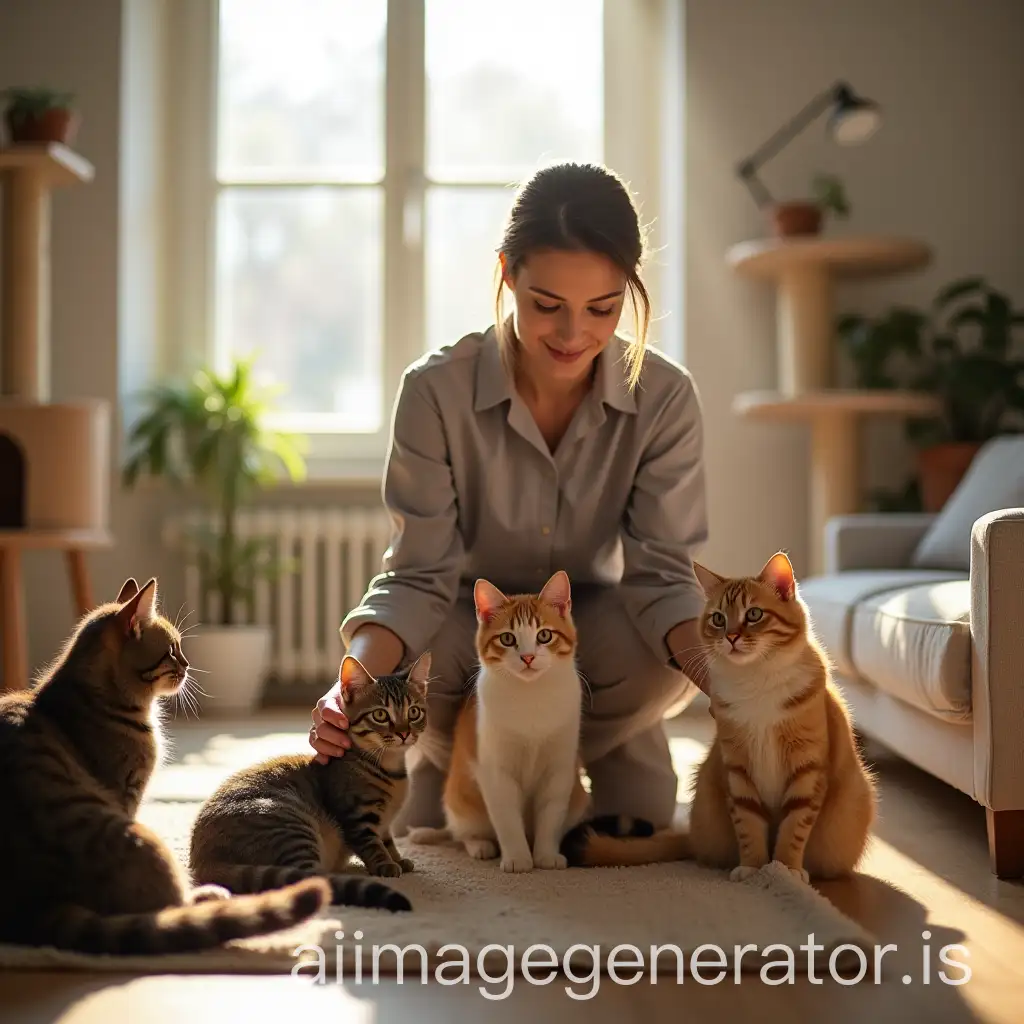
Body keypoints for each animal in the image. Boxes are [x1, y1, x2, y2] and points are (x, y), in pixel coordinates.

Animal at [0, 581, 331, 954]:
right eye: (172, 650)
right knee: (172, 908)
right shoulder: (127, 794)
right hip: (144, 839)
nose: (187, 664)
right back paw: (212, 895)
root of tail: (38, 910)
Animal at [186, 651, 430, 909]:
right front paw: (386, 864)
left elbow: (388, 841)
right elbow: (373, 845)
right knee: (310, 879)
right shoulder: (358, 817)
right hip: (290, 826)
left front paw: (399, 859)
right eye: (381, 714)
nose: (404, 733)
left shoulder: (384, 824)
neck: (391, 770)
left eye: (414, 712)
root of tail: (202, 860)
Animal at [684, 552, 876, 880]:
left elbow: (794, 827)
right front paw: (754, 868)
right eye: (718, 618)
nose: (731, 636)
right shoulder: (738, 769)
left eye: (754, 614)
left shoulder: (808, 769)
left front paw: (785, 870)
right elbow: (748, 826)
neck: (757, 679)